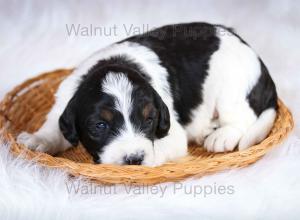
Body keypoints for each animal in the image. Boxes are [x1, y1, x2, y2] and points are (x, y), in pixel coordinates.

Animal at [17, 23, 278, 166]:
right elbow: (54, 126)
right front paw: (37, 140)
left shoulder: (173, 134)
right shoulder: (65, 101)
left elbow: (158, 148)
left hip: (232, 86)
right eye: (100, 125)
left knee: (242, 118)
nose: (134, 159)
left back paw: (220, 136)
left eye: (149, 120)